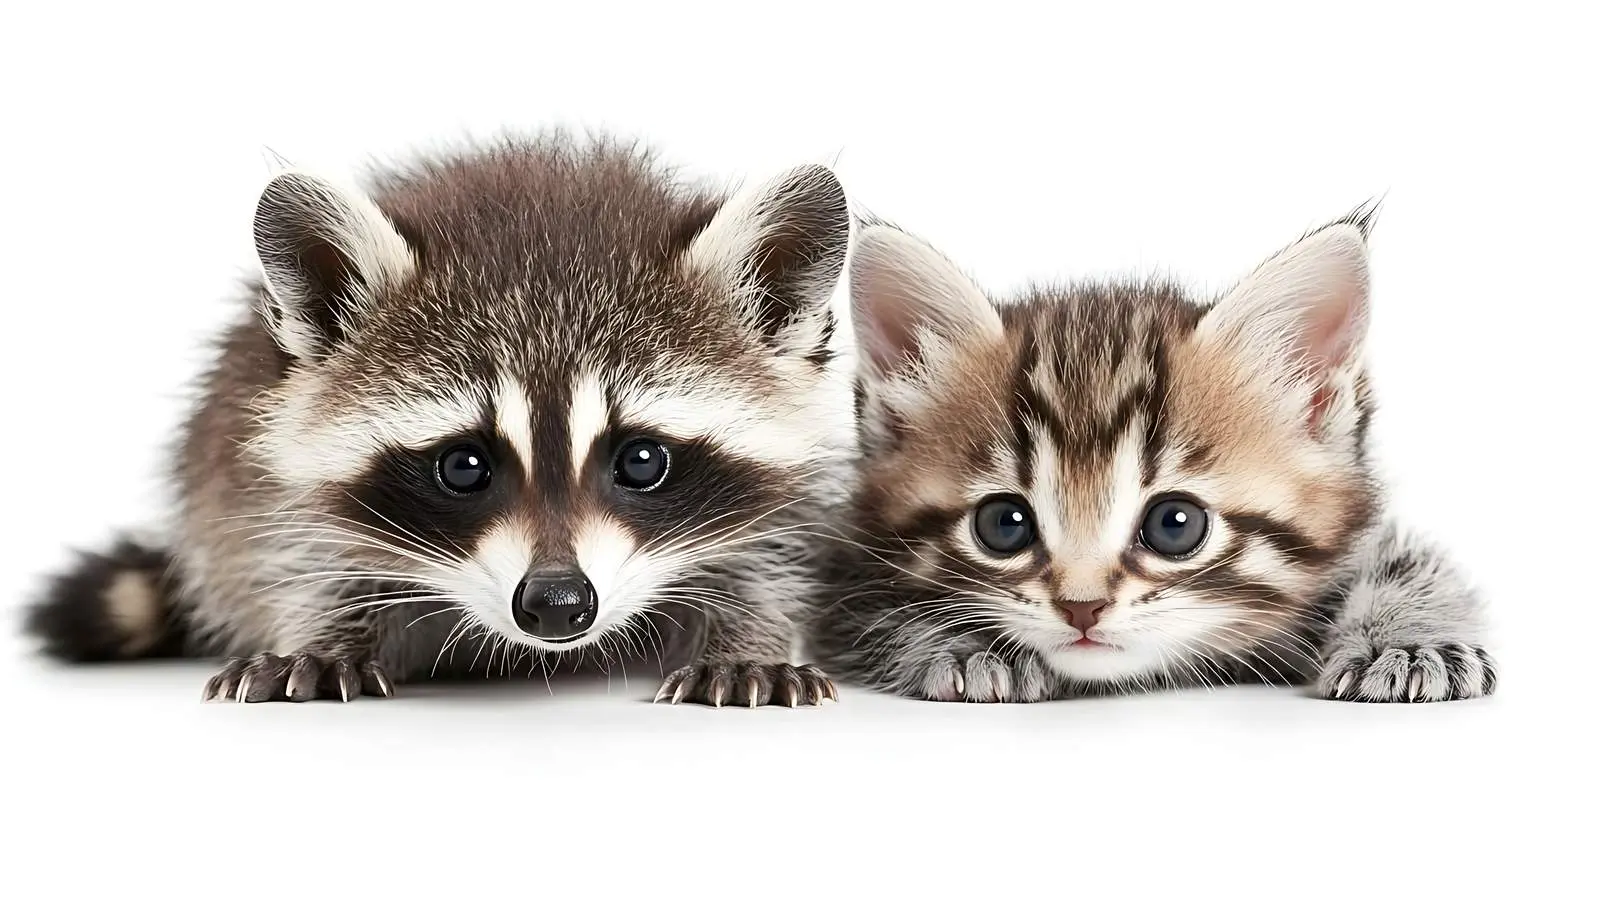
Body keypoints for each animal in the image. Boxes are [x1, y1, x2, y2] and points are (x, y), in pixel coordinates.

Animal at [25, 135, 849, 707]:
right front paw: (322, 632)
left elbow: (764, 560)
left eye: (641, 460)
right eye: (464, 465)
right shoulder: (267, 477)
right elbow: (302, 552)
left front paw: (748, 638)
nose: (558, 605)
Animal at [811, 213, 1496, 703]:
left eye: (1175, 524)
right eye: (1003, 525)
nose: (1082, 608)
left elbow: (1408, 561)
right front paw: (966, 648)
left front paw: (1409, 644)